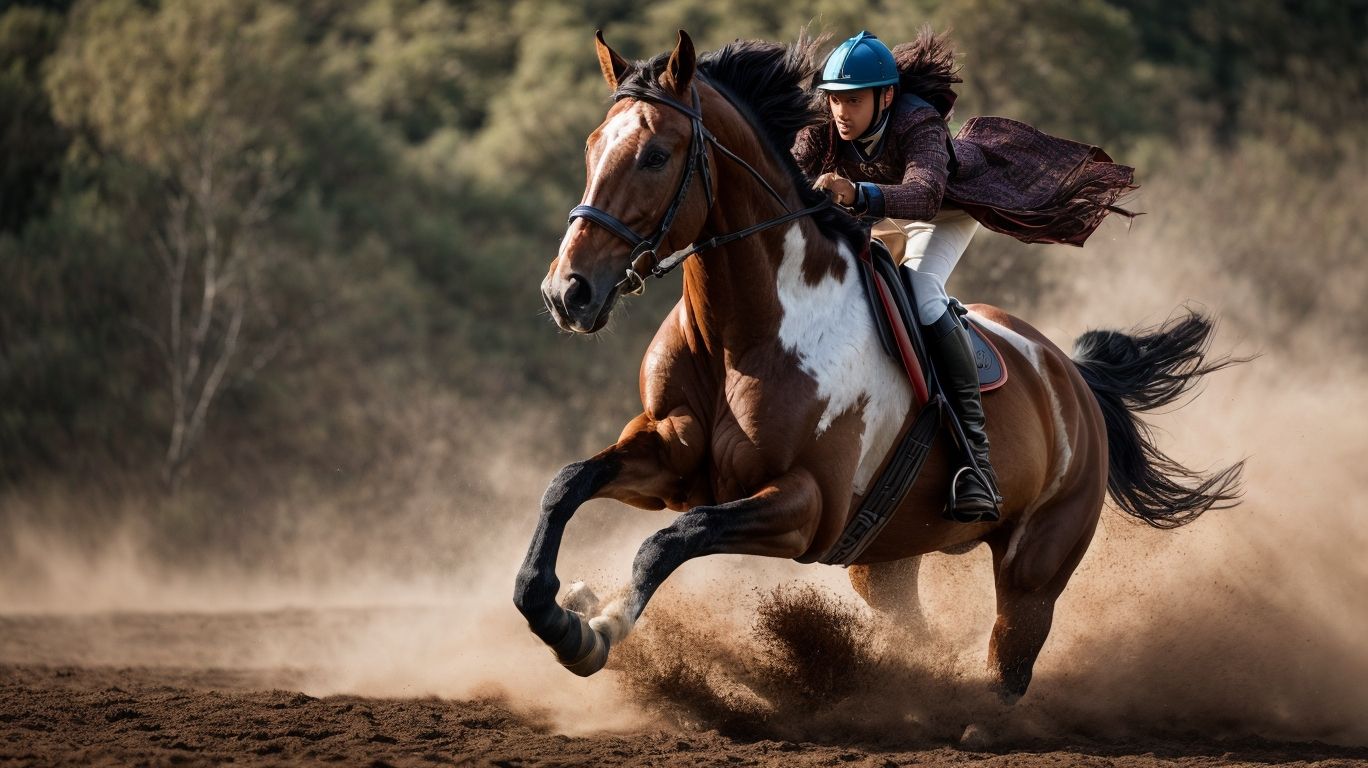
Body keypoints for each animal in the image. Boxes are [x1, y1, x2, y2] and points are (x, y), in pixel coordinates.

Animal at [514, 30, 1243, 703]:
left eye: (655, 156)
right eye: (591, 148)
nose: (566, 293)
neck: (743, 332)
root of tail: (1074, 380)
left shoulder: (807, 505)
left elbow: (669, 540)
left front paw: (599, 628)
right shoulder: (670, 455)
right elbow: (567, 484)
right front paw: (554, 611)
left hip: (1037, 562)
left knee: (1011, 656)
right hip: (885, 558)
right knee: (920, 631)